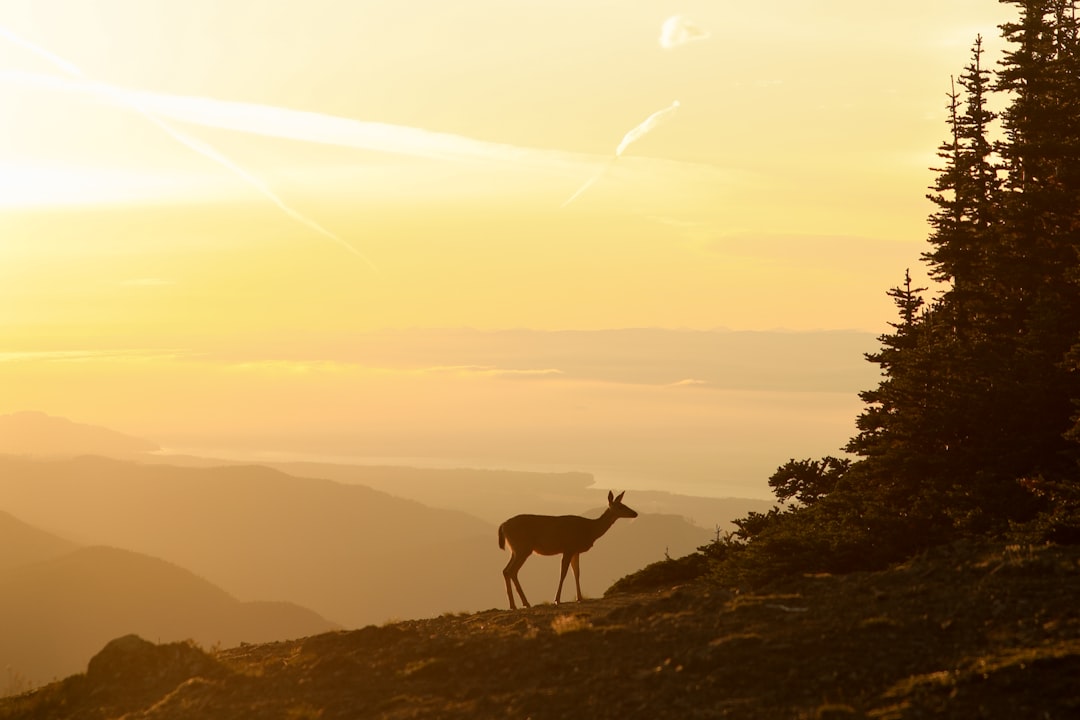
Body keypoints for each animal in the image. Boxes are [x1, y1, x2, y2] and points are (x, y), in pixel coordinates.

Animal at [497, 490, 638, 609]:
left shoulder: (575, 551)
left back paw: (515, 604)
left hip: (515, 550)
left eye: (624, 504)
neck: (590, 530)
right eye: (620, 507)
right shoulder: (568, 548)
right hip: (523, 548)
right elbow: (563, 573)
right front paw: (557, 600)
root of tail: (503, 525)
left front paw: (580, 598)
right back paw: (523, 603)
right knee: (512, 571)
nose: (635, 513)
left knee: (506, 570)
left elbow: (577, 572)